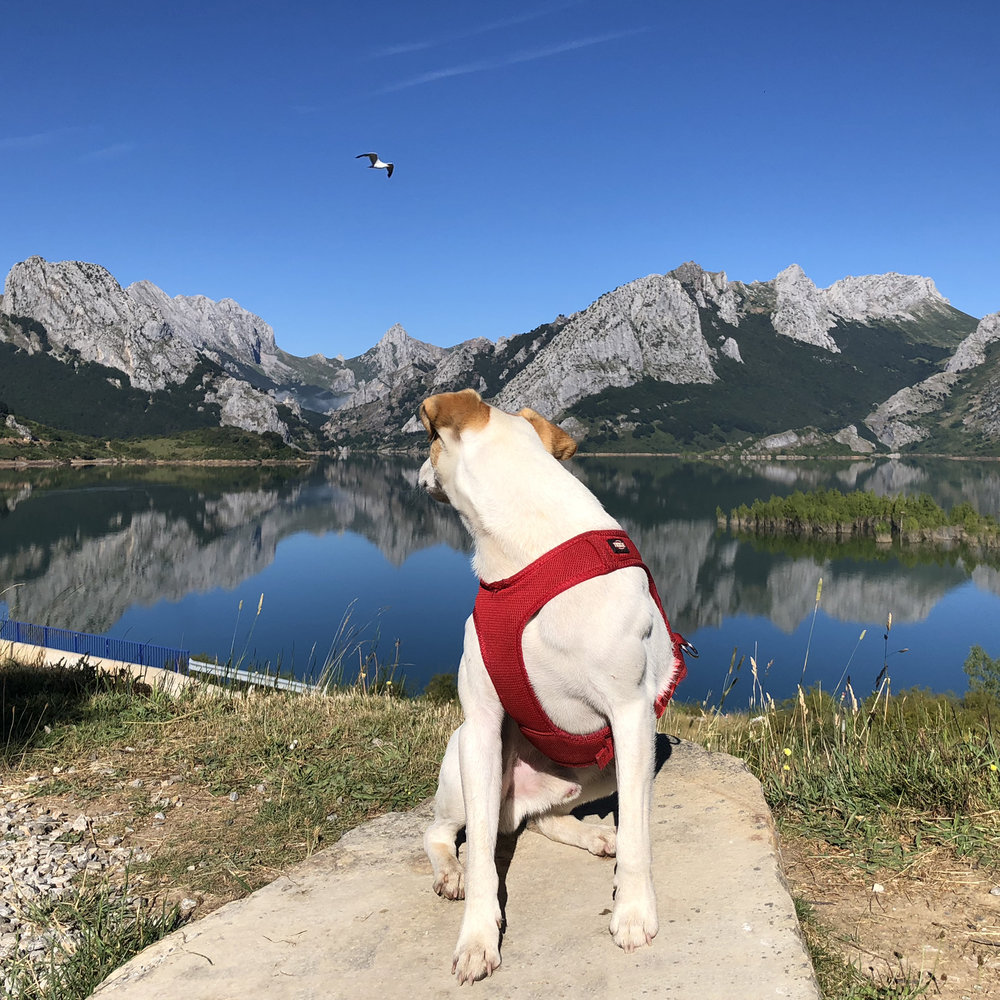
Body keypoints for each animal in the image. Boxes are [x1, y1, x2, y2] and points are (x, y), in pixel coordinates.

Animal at [418, 390, 692, 984]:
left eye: (425, 441)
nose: (416, 472)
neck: (523, 553)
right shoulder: (481, 724)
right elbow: (481, 860)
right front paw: (478, 939)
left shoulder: (631, 716)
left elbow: (638, 839)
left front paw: (633, 911)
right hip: (460, 760)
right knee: (444, 832)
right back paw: (452, 872)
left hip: (607, 766)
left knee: (542, 818)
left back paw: (595, 834)